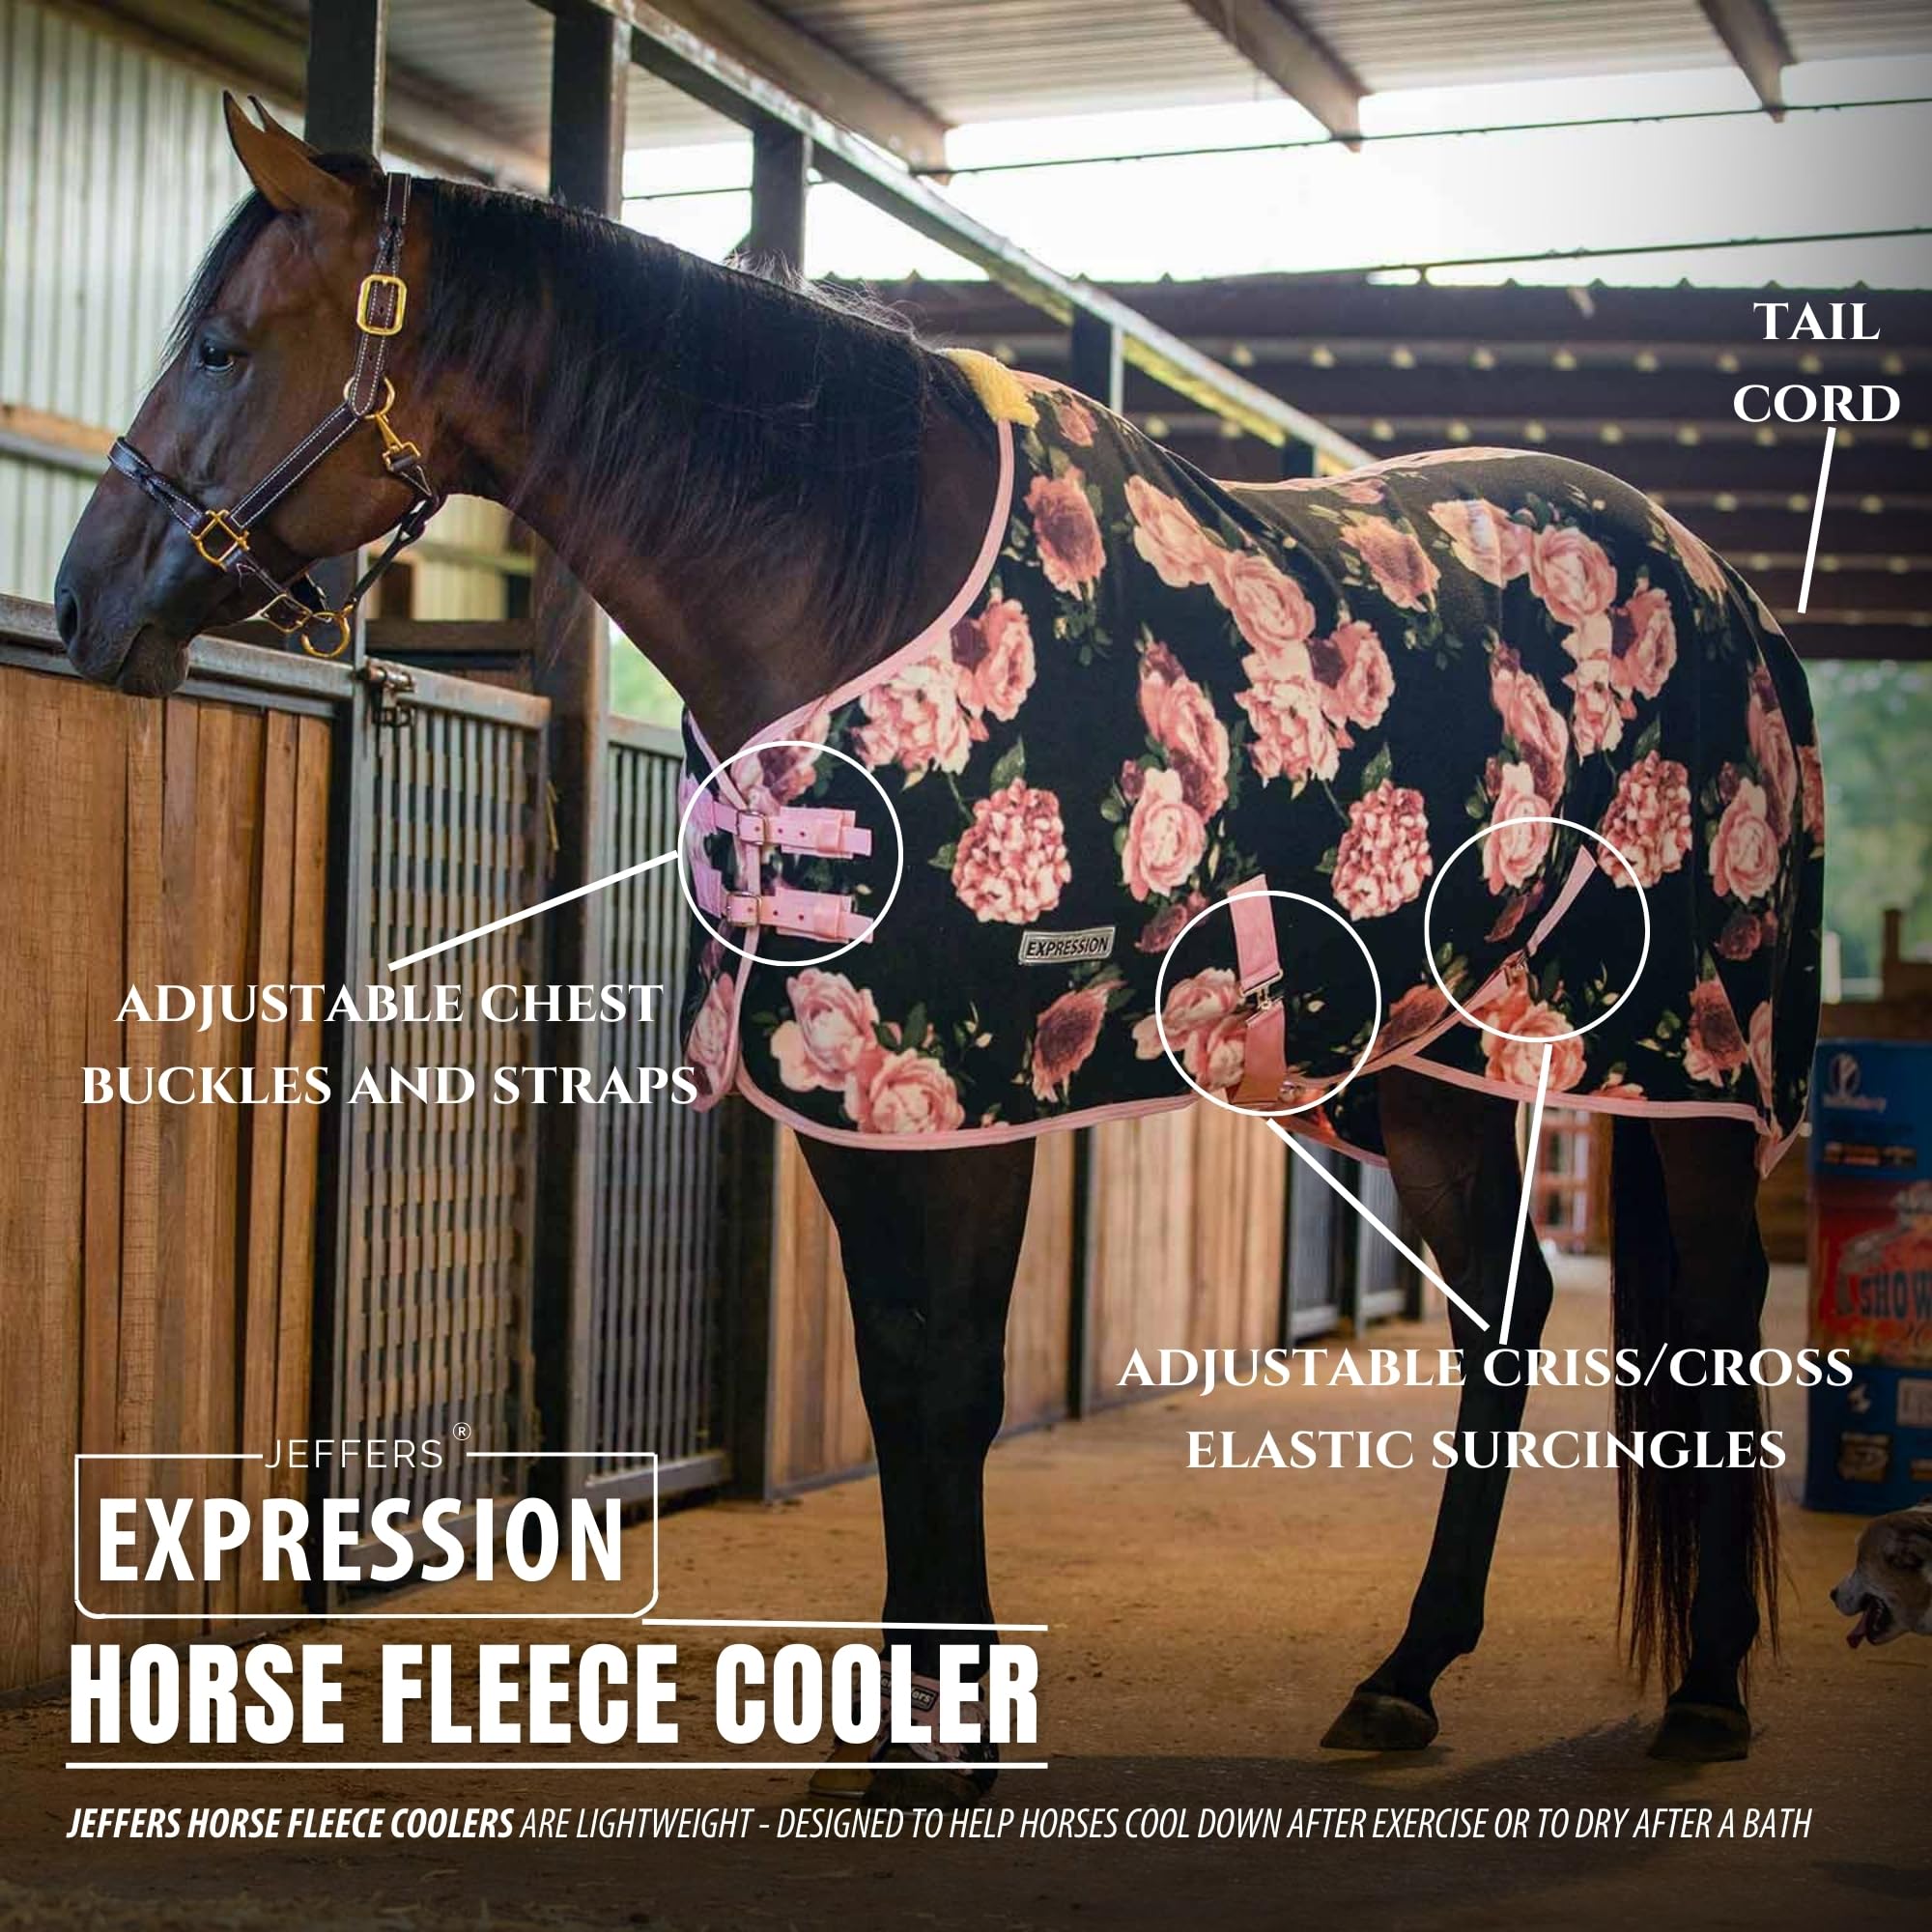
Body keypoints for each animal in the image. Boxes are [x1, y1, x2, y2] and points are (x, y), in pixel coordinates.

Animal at [56, 98, 1822, 1802]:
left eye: (222, 349)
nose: (83, 605)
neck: (860, 581)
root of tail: (1735, 599)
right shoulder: (858, 1095)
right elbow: (902, 1375)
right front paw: (912, 1727)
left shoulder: (971, 1086)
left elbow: (953, 1379)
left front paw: (947, 1738)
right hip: (1445, 1064)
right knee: (1504, 1318)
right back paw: (1407, 1674)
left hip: (1694, 1052)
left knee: (1720, 1302)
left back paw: (1714, 1689)